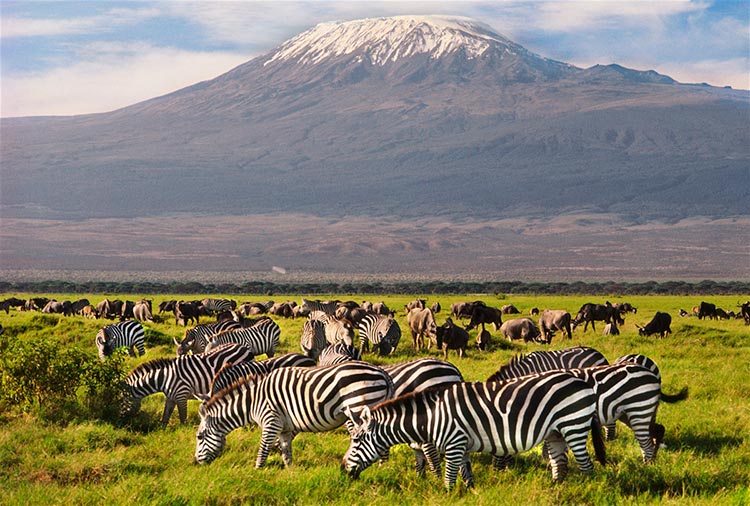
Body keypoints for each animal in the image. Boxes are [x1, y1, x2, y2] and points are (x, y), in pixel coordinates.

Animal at [121, 342, 256, 424]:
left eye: (121, 401)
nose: (123, 422)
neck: (163, 377)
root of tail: (244, 348)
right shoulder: (171, 397)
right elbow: (165, 417)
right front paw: (162, 431)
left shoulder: (181, 395)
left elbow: (183, 418)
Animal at [194, 364, 396, 466]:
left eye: (199, 436)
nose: (196, 462)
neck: (252, 402)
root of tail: (382, 372)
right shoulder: (283, 428)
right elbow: (286, 451)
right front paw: (289, 474)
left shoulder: (271, 421)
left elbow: (263, 450)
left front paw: (257, 473)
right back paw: (382, 469)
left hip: (360, 405)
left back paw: (381, 469)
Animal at [344, 372, 608, 490]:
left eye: (356, 440)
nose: (342, 469)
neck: (432, 416)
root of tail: (581, 381)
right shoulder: (462, 444)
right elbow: (466, 472)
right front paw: (469, 492)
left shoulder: (453, 442)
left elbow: (450, 477)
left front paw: (448, 495)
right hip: (555, 432)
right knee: (559, 464)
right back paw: (555, 489)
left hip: (573, 425)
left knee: (586, 465)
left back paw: (589, 487)